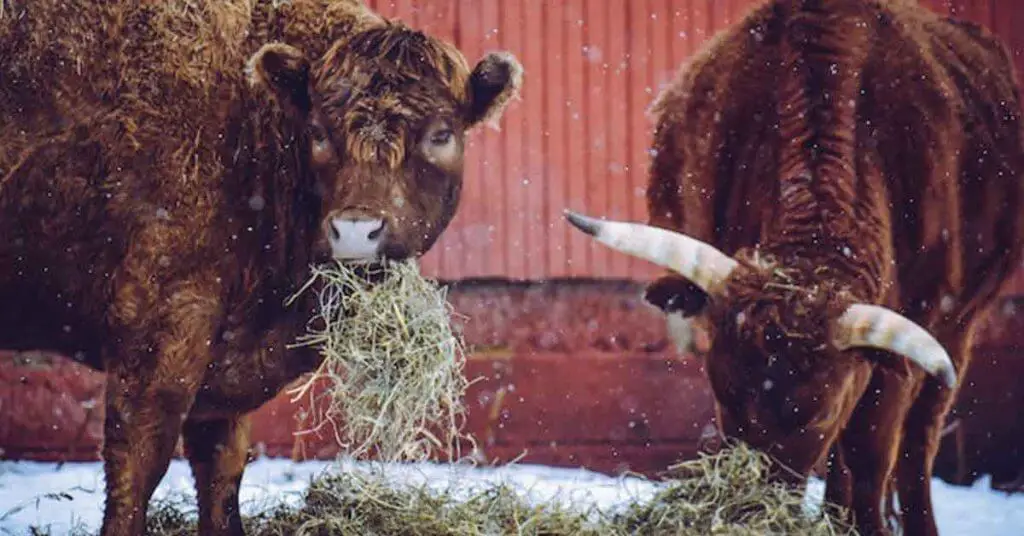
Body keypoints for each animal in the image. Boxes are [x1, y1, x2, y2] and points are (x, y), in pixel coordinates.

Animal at [0, 2, 524, 532]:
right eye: (317, 132)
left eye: (441, 134)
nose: (356, 229)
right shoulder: (159, 330)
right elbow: (137, 466)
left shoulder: (221, 365)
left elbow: (222, 472)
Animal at [565, 1, 1024, 536]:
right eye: (724, 395)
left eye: (814, 417)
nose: (750, 511)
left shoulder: (905, 348)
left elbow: (870, 457)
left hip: (959, 330)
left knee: (915, 443)